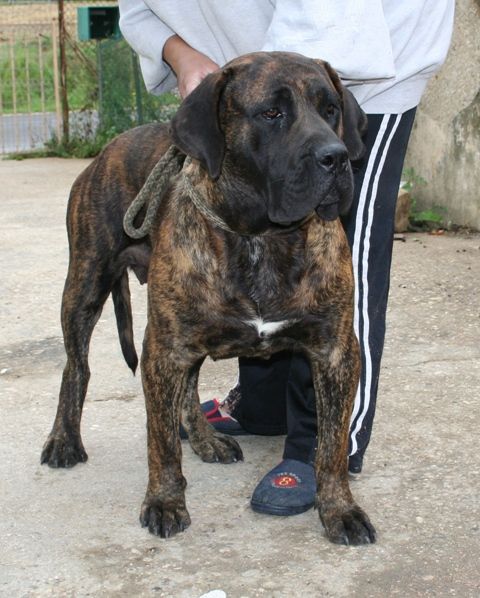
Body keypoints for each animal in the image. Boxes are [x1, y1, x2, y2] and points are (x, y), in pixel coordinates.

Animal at [41, 52, 376, 548]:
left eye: (330, 108)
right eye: (271, 113)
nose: (334, 156)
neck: (261, 236)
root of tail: (105, 150)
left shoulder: (334, 350)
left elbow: (331, 443)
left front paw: (339, 508)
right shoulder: (162, 349)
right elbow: (160, 442)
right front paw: (164, 501)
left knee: (189, 388)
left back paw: (204, 440)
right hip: (86, 284)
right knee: (75, 366)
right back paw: (64, 439)